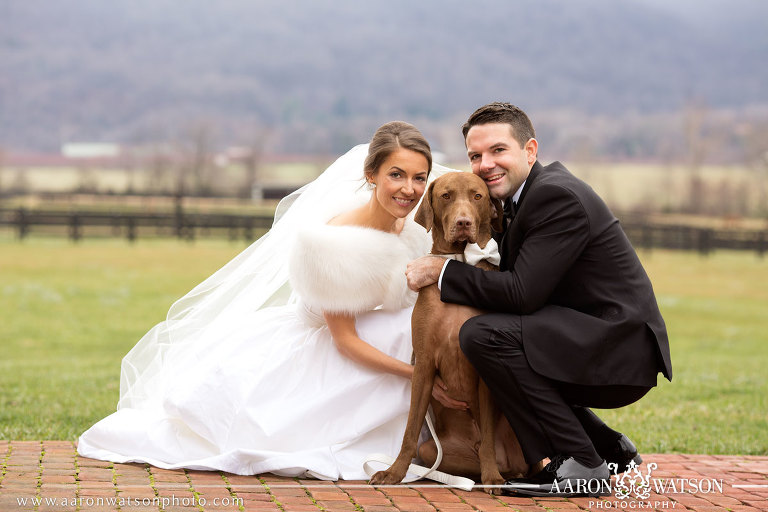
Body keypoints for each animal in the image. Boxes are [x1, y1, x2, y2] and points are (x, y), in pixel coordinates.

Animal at [372, 171, 536, 492]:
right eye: (446, 195)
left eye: (477, 196)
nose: (463, 223)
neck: (459, 261)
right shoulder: (423, 363)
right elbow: (410, 431)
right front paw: (394, 473)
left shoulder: (483, 372)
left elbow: (488, 437)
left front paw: (491, 476)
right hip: (431, 450)